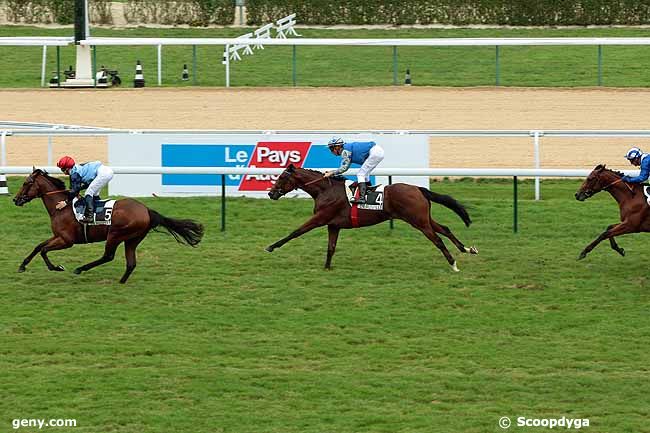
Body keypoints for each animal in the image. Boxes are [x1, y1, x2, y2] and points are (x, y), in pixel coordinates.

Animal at [13, 169, 205, 284]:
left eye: (26, 183)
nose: (15, 199)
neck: (61, 208)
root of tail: (146, 210)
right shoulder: (58, 236)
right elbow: (38, 246)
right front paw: (22, 266)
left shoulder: (67, 240)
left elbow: (44, 250)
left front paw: (56, 267)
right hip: (132, 239)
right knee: (131, 263)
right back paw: (121, 281)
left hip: (116, 234)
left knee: (108, 256)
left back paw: (80, 269)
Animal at [264, 165, 476, 270]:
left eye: (281, 177)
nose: (271, 193)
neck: (325, 190)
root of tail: (418, 189)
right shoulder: (333, 225)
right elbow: (331, 247)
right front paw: (327, 267)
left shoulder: (320, 219)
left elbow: (295, 232)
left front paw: (271, 247)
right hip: (424, 218)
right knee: (445, 229)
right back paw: (467, 249)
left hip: (418, 221)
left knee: (438, 239)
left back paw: (453, 263)